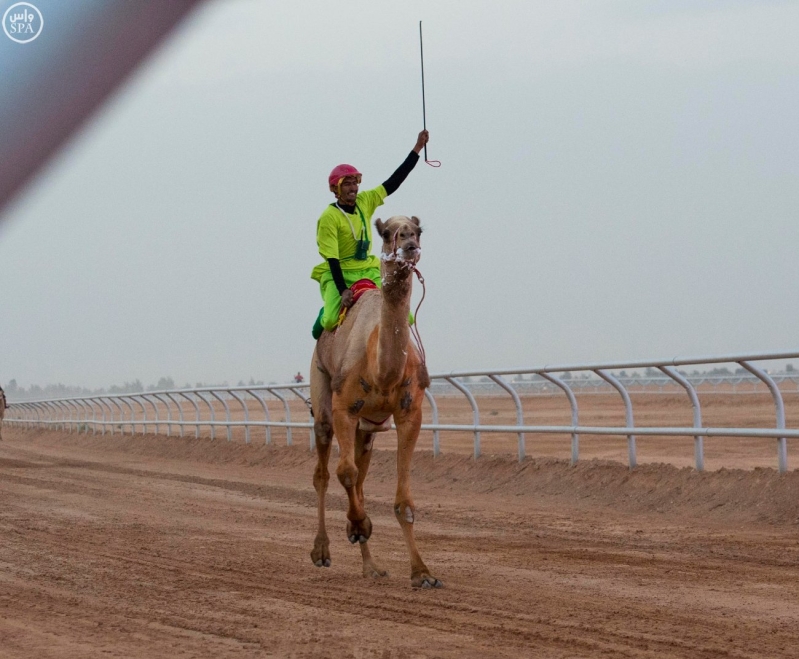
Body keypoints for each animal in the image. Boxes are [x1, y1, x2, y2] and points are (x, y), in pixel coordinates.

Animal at [308, 214, 444, 592]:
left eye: (418, 230)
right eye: (386, 232)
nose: (409, 244)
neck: (381, 369)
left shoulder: (410, 412)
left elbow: (403, 502)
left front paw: (423, 573)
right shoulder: (345, 407)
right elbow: (344, 472)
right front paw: (358, 526)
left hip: (367, 430)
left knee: (360, 481)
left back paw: (371, 567)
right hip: (322, 392)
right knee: (325, 472)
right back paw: (322, 551)